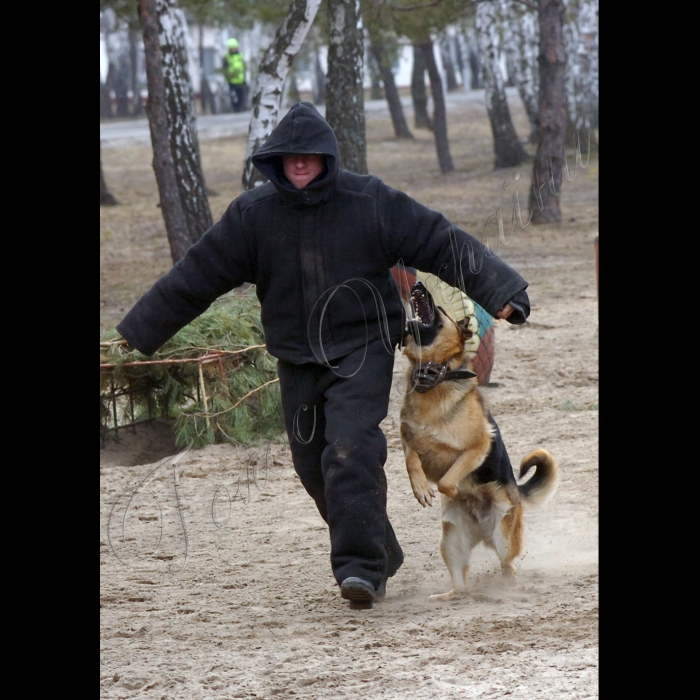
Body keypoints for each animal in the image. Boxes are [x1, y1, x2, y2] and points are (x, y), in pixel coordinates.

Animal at [400, 282, 556, 600]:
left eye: (441, 310)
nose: (419, 283)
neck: (434, 380)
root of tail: (482, 533)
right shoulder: (406, 436)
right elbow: (412, 460)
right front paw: (421, 487)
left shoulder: (478, 447)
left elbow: (448, 480)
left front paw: (450, 487)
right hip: (450, 542)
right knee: (461, 584)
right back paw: (448, 596)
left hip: (504, 537)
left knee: (509, 566)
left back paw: (510, 588)